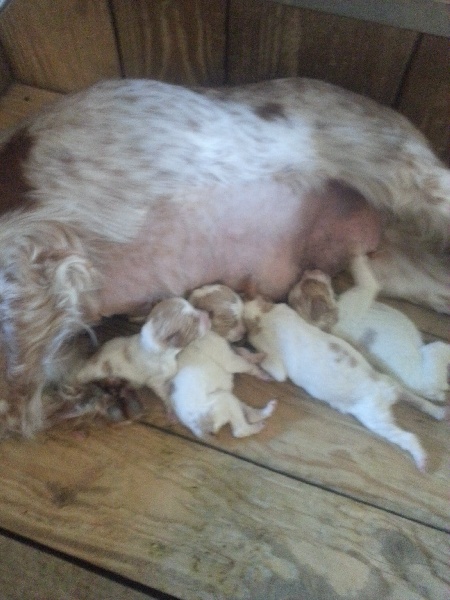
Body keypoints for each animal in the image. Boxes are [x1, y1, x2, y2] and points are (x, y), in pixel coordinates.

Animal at [169, 284, 276, 438]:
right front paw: (257, 368)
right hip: (224, 400)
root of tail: (199, 429)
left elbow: (244, 354)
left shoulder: (233, 350)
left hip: (230, 398)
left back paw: (265, 411)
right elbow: (246, 364)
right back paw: (257, 427)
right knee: (239, 430)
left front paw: (256, 359)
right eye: (232, 322)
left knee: (248, 413)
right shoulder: (229, 359)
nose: (244, 332)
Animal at [243, 296, 446, 469]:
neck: (266, 315)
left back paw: (422, 460)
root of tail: (384, 389)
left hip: (376, 419)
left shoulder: (276, 364)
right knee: (419, 400)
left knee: (408, 437)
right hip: (394, 386)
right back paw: (440, 412)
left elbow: (269, 365)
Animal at [288, 256, 450, 402]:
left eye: (305, 281)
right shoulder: (366, 287)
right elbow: (361, 267)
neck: (328, 321)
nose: (308, 270)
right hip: (435, 350)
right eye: (311, 282)